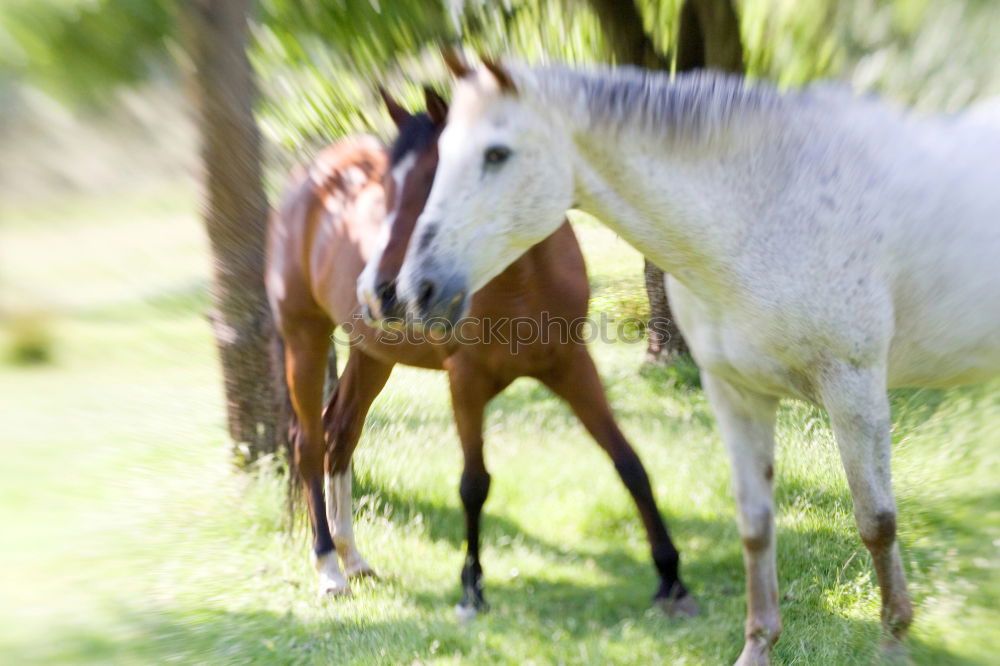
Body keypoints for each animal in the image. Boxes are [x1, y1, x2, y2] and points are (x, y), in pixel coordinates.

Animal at [270, 85, 700, 616]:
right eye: (387, 188)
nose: (380, 291)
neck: (520, 279)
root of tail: (307, 183)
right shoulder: (466, 380)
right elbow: (473, 485)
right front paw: (472, 588)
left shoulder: (573, 366)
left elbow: (629, 464)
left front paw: (671, 577)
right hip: (304, 338)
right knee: (309, 443)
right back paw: (329, 568)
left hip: (372, 355)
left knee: (340, 435)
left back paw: (353, 559)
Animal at [360, 58, 1000, 664]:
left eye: (496, 154)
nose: (413, 289)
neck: (768, 211)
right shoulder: (736, 393)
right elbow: (755, 526)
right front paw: (757, 647)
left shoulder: (855, 388)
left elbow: (877, 522)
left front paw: (893, 643)